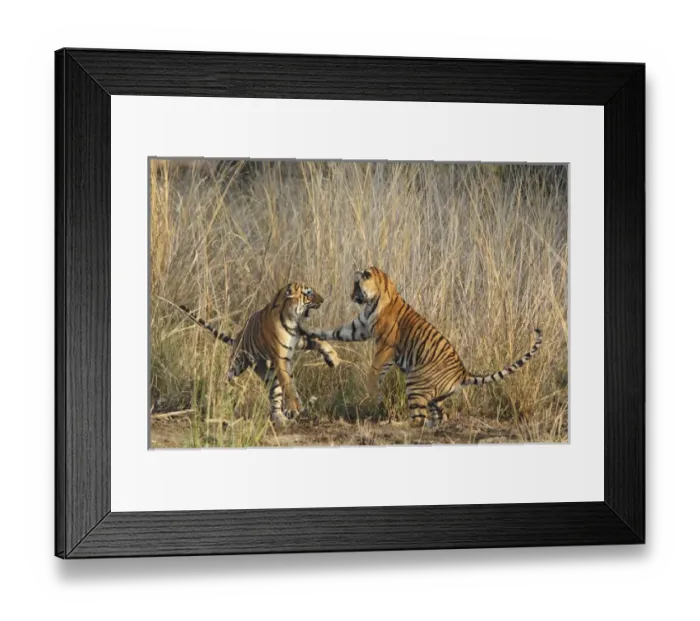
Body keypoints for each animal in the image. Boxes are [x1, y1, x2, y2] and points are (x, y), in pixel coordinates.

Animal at [178, 282, 340, 427]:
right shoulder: (280, 358)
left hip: (271, 376)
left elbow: (319, 341)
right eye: (309, 293)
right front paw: (295, 407)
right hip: (238, 362)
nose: (323, 300)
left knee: (275, 399)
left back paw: (282, 420)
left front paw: (333, 358)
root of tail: (237, 338)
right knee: (228, 376)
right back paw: (223, 389)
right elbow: (289, 385)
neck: (292, 319)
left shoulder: (300, 339)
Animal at [303, 267, 542, 427]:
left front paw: (372, 391)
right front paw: (309, 330)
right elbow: (335, 331)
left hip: (415, 382)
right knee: (439, 415)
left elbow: (375, 368)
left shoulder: (385, 344)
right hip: (433, 395)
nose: (351, 295)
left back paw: (395, 425)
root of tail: (463, 373)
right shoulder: (359, 327)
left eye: (356, 285)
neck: (375, 298)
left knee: (418, 419)